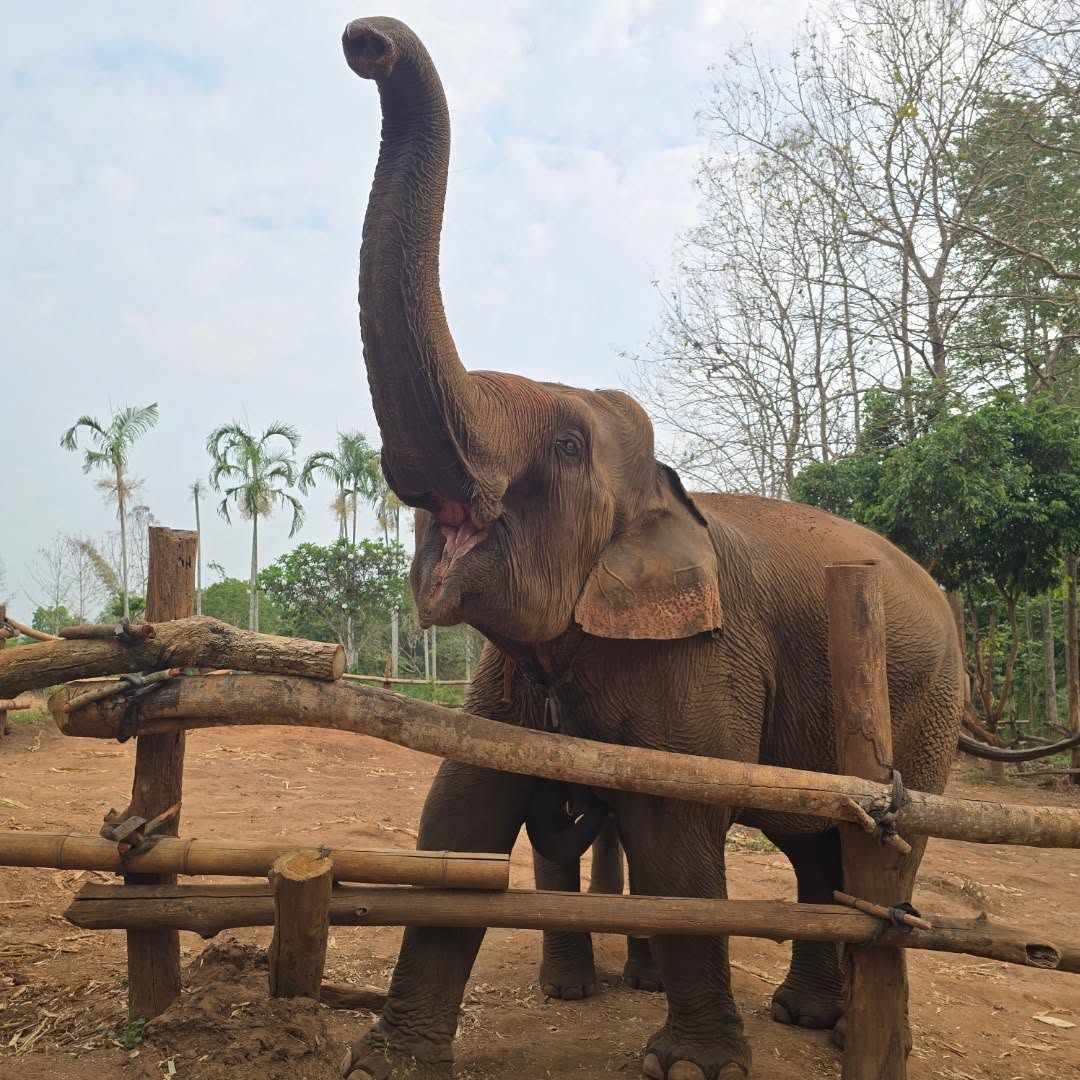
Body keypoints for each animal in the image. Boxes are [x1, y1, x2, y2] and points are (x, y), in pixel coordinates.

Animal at [339, 16, 964, 1080]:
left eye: (563, 445)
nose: (365, 40)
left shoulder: (703, 658)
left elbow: (677, 834)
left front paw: (690, 1066)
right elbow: (458, 810)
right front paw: (382, 1063)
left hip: (925, 707)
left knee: (883, 853)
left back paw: (862, 1036)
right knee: (815, 848)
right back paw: (808, 1014)